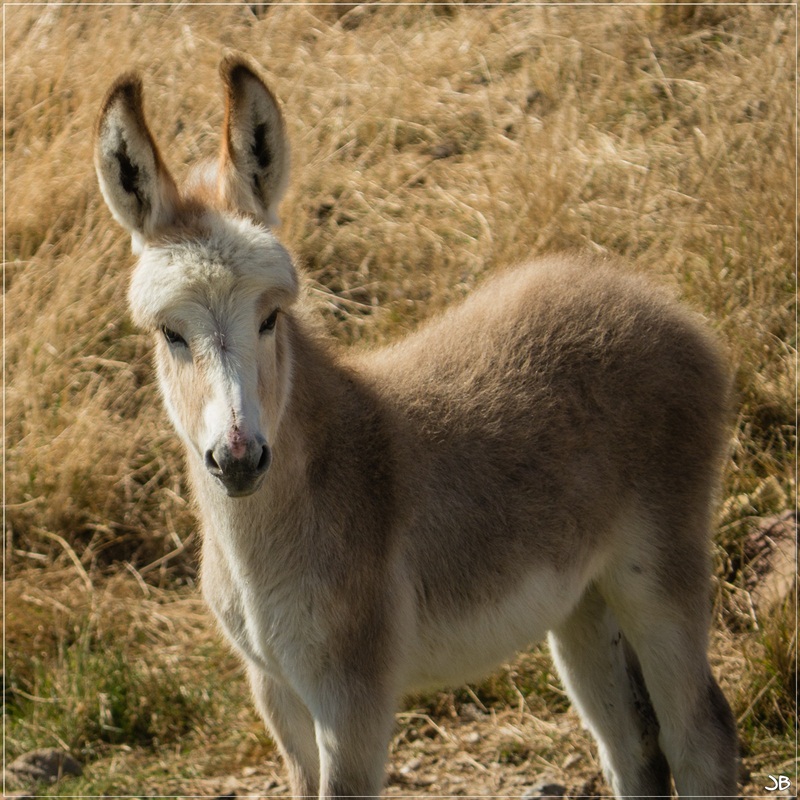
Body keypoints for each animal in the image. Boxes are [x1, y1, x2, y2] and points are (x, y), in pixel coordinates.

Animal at [97, 54, 740, 792]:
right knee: (634, 748)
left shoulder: (352, 700)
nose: (238, 459)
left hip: (657, 572)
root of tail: (657, 302)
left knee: (701, 736)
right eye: (171, 334)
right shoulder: (276, 692)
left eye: (270, 317)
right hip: (582, 600)